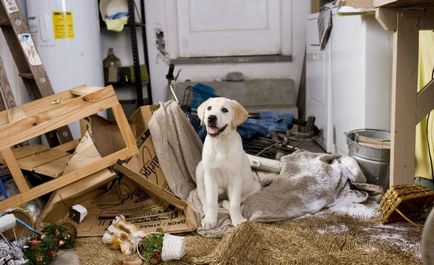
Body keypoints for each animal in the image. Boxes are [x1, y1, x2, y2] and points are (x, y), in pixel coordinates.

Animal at [196, 96, 262, 228]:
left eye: (224, 110)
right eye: (209, 108)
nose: (211, 117)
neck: (220, 143)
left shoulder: (235, 179)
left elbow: (235, 203)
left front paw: (237, 219)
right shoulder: (210, 176)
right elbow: (211, 201)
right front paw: (210, 219)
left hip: (256, 186)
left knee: (239, 199)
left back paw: (226, 203)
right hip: (200, 170)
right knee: (202, 194)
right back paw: (206, 209)